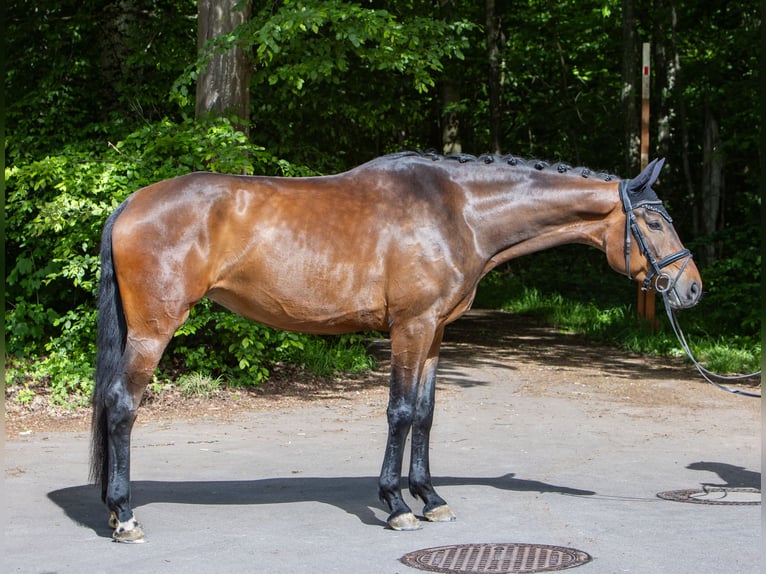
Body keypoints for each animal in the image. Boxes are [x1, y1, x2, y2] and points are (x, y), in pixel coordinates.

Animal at [90, 151, 701, 542]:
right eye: (652, 221)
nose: (691, 287)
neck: (459, 210)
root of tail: (131, 203)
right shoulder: (410, 328)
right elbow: (400, 412)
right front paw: (395, 504)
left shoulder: (435, 332)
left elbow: (426, 415)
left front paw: (431, 499)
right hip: (153, 331)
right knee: (121, 407)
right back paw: (124, 516)